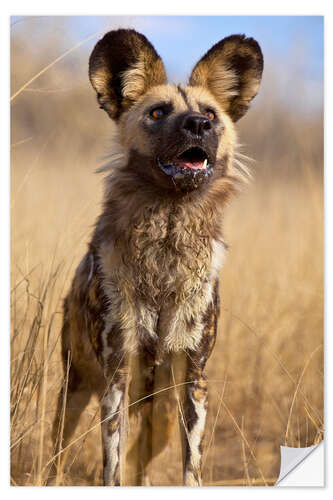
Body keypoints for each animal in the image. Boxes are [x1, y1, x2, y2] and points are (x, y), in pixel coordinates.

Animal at [51, 29, 262, 486]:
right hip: (75, 391)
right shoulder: (116, 376)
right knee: (59, 452)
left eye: (210, 114)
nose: (198, 125)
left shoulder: (193, 380)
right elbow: (111, 469)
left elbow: (190, 469)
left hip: (161, 415)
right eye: (158, 112)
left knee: (139, 463)